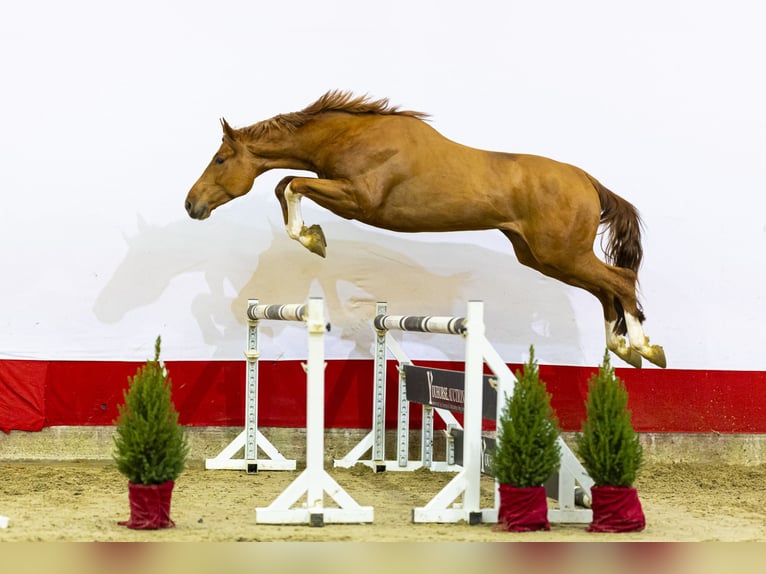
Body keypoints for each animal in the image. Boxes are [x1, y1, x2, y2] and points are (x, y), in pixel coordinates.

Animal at [184, 90, 666, 368]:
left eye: (221, 159)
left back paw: (644, 347)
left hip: (561, 254)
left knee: (621, 280)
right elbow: (285, 183)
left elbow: (291, 183)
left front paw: (311, 239)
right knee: (606, 290)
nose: (192, 205)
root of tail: (588, 181)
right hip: (542, 257)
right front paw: (313, 237)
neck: (349, 135)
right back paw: (625, 348)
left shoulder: (359, 200)